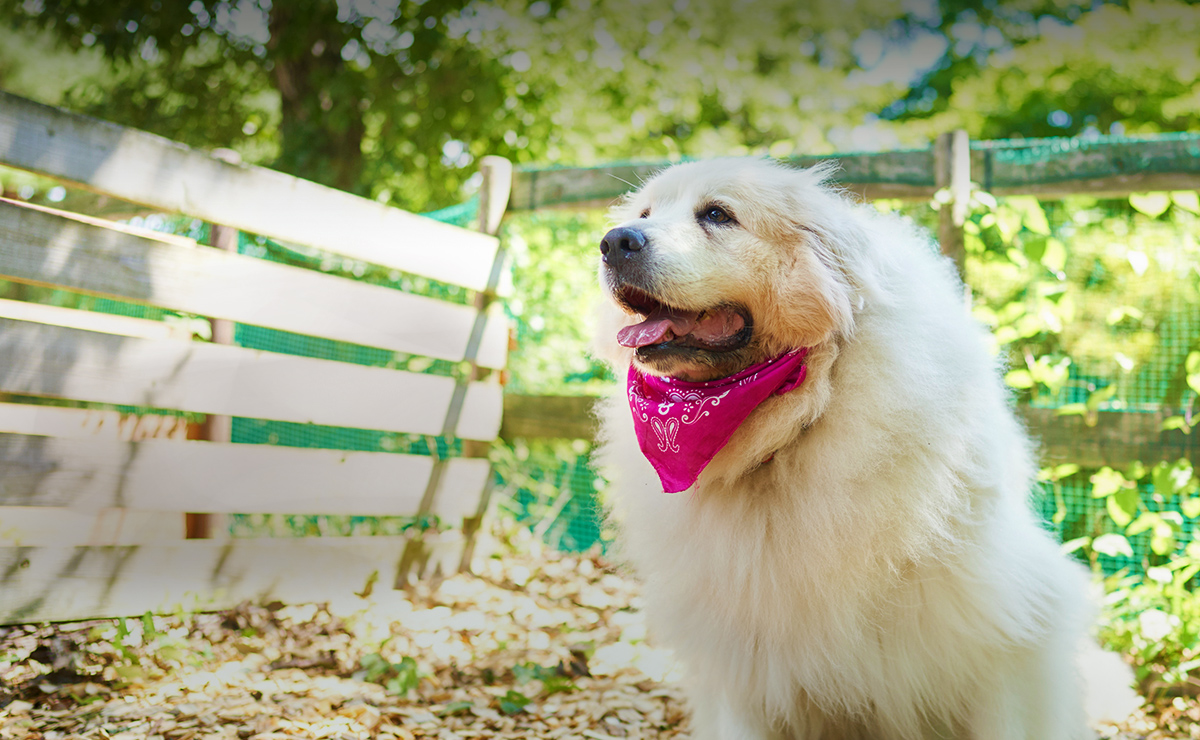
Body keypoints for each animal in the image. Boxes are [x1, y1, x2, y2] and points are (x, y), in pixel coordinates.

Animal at [595, 158, 1094, 734]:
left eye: (718, 214)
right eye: (644, 215)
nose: (614, 242)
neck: (796, 422)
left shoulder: (1004, 635)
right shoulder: (743, 666)